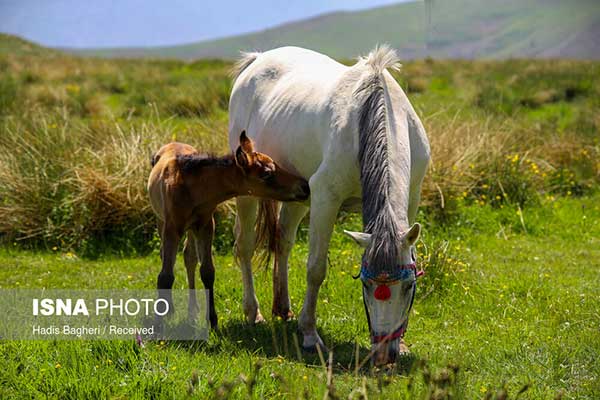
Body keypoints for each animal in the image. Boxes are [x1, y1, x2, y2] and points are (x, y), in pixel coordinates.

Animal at [148, 131, 310, 328]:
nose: (304, 186)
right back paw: (170, 309)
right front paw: (158, 324)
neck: (191, 188)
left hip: (192, 229)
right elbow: (165, 276)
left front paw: (212, 320)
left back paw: (193, 311)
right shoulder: (172, 227)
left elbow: (207, 271)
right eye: (266, 174)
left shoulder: (205, 225)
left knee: (189, 257)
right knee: (166, 255)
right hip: (161, 221)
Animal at [227, 45, 428, 364]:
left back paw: (283, 308)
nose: (385, 355)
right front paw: (310, 334)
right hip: (249, 189)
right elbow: (315, 269)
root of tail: (257, 59)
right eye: (366, 285)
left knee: (283, 240)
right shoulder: (325, 198)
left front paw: (405, 342)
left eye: (408, 286)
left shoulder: (412, 198)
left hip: (298, 194)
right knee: (244, 246)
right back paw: (253, 312)